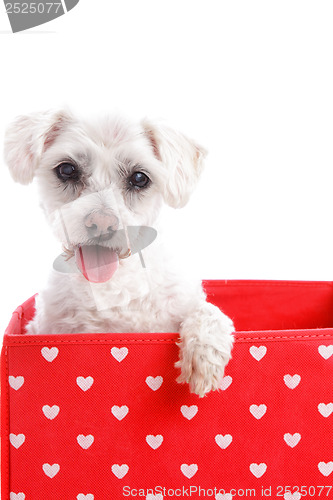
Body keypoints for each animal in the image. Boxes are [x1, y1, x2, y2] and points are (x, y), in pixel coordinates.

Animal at [4, 111, 233, 396]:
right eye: (67, 170)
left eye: (139, 178)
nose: (102, 223)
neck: (111, 287)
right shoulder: (42, 328)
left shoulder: (184, 301)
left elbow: (211, 312)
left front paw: (203, 357)